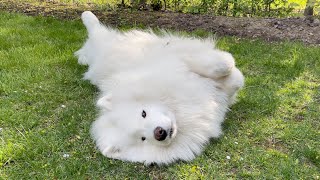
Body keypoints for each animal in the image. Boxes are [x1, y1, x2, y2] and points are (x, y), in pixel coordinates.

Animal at [75, 11, 245, 165]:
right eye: (143, 138)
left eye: (143, 113)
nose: (159, 133)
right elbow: (230, 83)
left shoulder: (176, 58)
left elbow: (223, 66)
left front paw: (230, 69)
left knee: (96, 30)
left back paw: (87, 15)